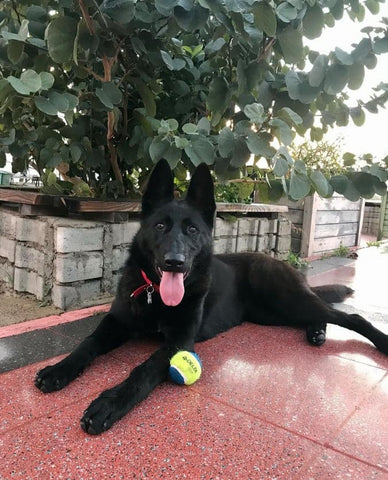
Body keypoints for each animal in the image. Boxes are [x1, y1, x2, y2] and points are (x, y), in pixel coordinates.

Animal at [34, 160, 386, 436]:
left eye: (192, 230)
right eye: (160, 226)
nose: (174, 262)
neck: (154, 296)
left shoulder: (179, 342)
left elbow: (143, 370)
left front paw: (109, 403)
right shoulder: (116, 322)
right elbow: (88, 344)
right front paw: (58, 370)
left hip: (286, 299)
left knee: (349, 316)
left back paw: (377, 340)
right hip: (273, 314)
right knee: (318, 316)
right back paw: (316, 332)